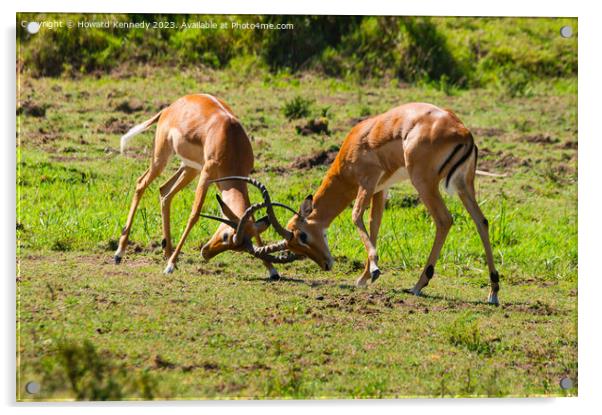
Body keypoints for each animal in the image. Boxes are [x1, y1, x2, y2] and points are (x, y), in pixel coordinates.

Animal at [112, 94, 296, 280]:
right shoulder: (206, 175)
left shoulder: (235, 179)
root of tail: (170, 108)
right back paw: (120, 253)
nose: (205, 253)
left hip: (190, 168)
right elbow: (194, 214)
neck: (230, 137)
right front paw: (170, 266)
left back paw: (167, 252)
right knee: (141, 183)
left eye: (242, 247)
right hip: (162, 158)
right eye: (226, 235)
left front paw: (272, 270)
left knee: (165, 191)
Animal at [220, 103, 502, 306]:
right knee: (482, 221)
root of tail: (464, 133)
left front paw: (374, 271)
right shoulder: (380, 189)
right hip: (464, 184)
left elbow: (356, 217)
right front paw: (364, 277)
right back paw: (493, 292)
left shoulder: (367, 181)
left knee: (444, 220)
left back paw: (418, 284)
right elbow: (374, 225)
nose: (326, 264)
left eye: (302, 236)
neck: (358, 140)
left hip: (424, 183)